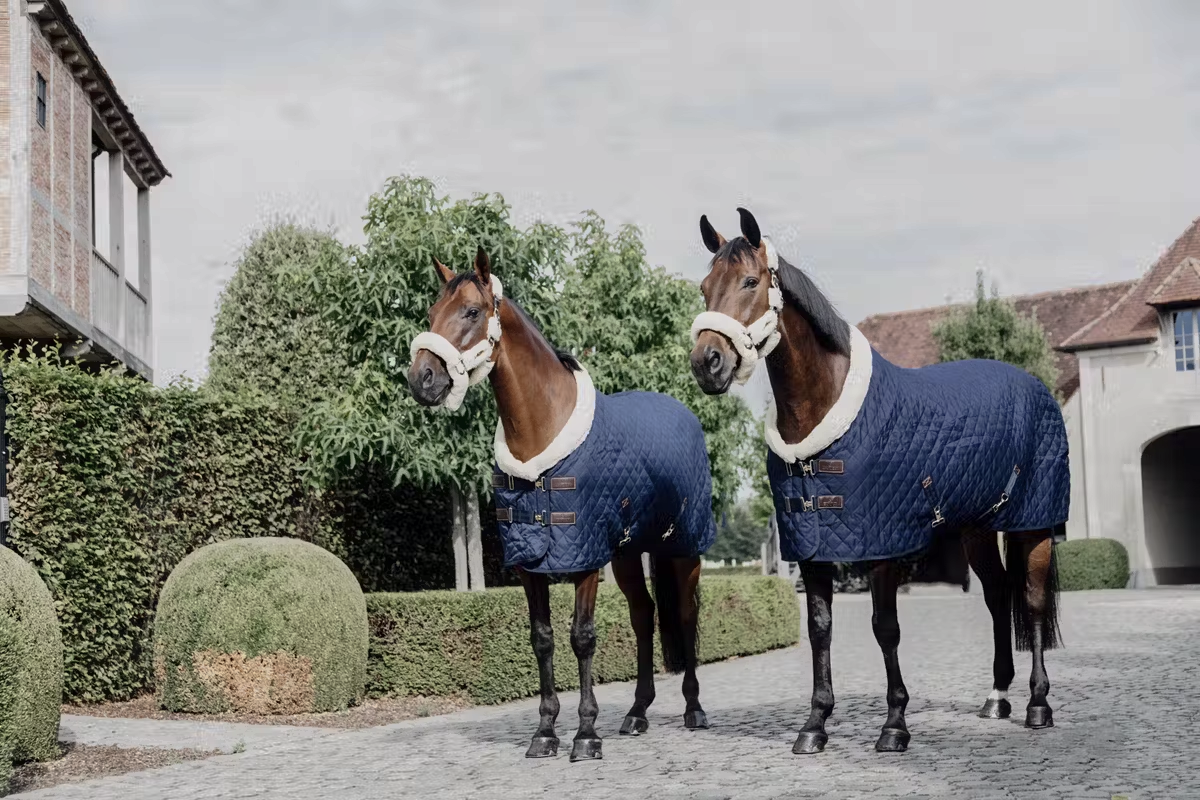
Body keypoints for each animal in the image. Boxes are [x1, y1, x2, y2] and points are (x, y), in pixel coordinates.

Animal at [408, 247, 717, 762]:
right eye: (431, 313)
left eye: (470, 312)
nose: (421, 379)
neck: (542, 437)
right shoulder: (529, 563)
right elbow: (543, 639)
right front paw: (545, 732)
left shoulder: (585, 556)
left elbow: (582, 637)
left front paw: (586, 734)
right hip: (628, 552)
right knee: (643, 615)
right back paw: (637, 713)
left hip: (683, 548)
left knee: (686, 615)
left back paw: (694, 709)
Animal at [688, 208, 1067, 754]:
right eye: (704, 288)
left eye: (750, 281)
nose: (706, 363)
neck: (822, 415)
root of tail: (1033, 386)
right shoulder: (812, 547)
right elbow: (820, 629)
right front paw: (814, 725)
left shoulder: (882, 546)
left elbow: (885, 628)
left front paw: (894, 725)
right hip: (975, 528)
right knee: (997, 596)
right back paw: (997, 697)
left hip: (1032, 523)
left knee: (1032, 601)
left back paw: (1038, 704)